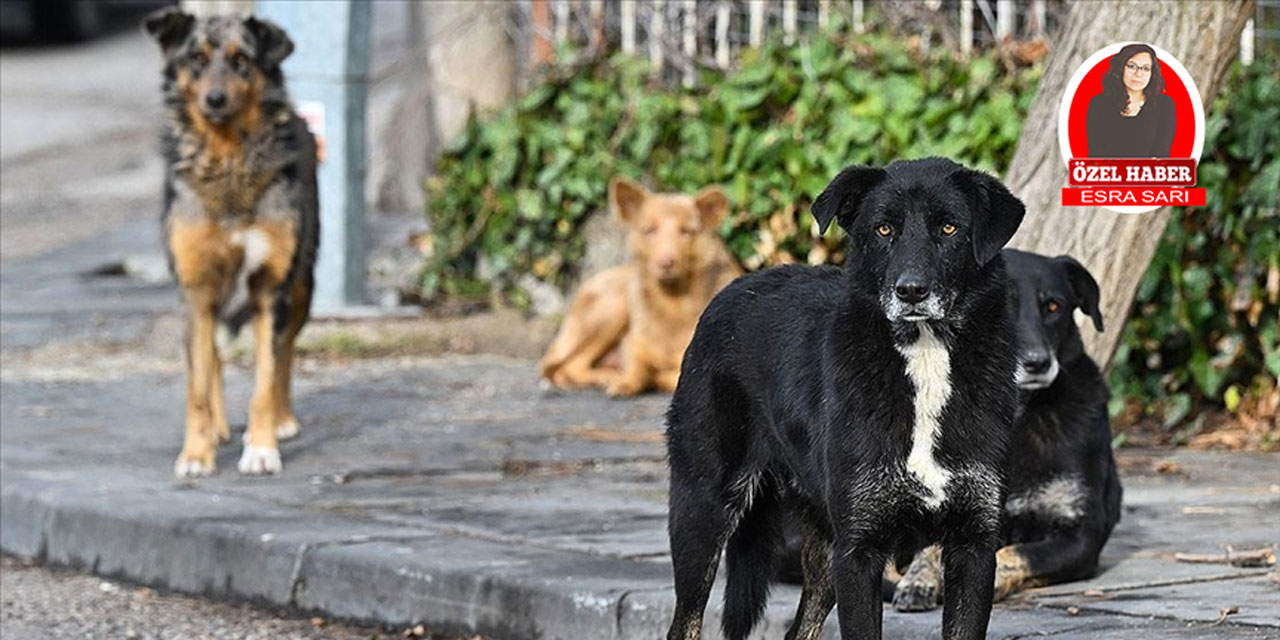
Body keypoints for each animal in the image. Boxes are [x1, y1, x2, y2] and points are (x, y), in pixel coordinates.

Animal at [145, 7, 320, 478]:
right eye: (197, 59)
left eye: (242, 60)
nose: (215, 100)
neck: (227, 159)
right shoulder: (195, 288)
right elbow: (198, 384)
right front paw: (195, 453)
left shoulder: (271, 286)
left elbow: (266, 376)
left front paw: (261, 448)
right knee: (214, 358)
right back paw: (218, 430)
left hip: (302, 285)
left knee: (284, 351)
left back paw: (282, 420)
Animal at [540, 176, 742, 394]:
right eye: (650, 230)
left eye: (686, 231)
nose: (665, 262)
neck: (673, 303)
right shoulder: (635, 345)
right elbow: (639, 367)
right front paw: (628, 380)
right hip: (612, 308)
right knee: (568, 366)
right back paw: (605, 377)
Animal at [665, 158, 1024, 640]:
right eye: (884, 229)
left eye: (949, 228)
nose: (911, 291)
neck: (925, 356)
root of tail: (735, 287)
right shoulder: (858, 552)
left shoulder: (973, 547)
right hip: (703, 510)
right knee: (685, 620)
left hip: (820, 544)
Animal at [890, 248, 1121, 609]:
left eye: (1054, 306)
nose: (1037, 363)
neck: (1018, 415)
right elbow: (931, 548)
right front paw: (919, 578)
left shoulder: (1082, 534)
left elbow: (1017, 553)